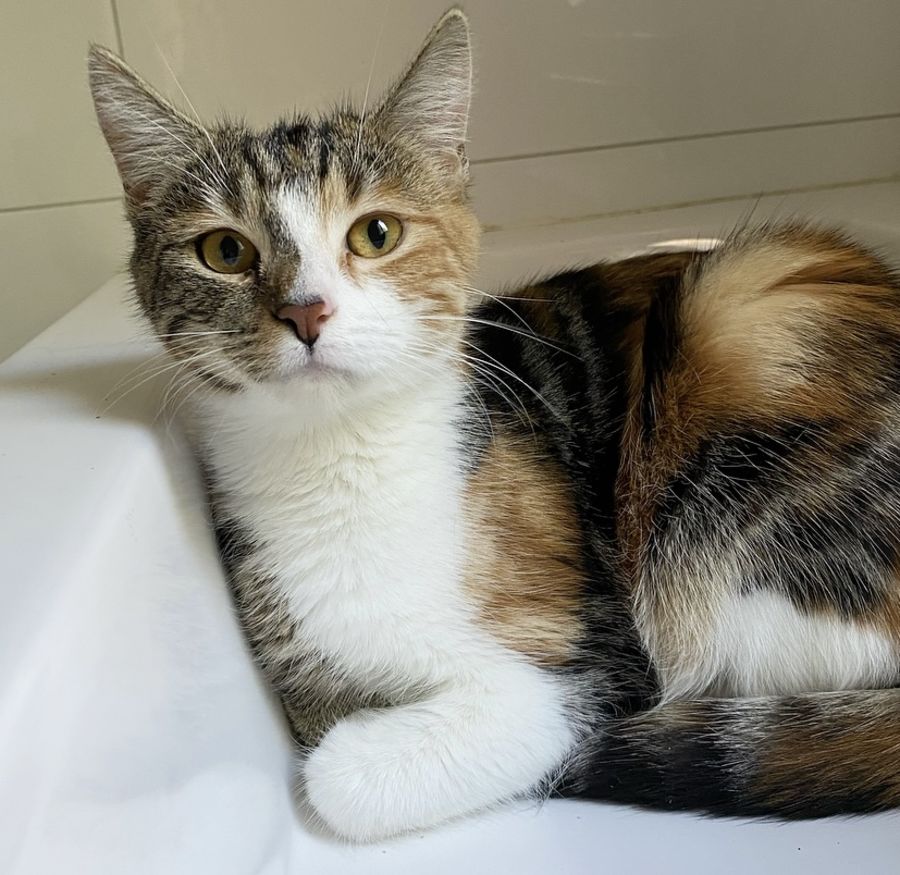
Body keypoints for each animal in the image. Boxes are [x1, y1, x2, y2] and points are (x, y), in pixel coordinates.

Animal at [89, 8, 900, 842]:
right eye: (223, 250)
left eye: (375, 233)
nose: (306, 310)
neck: (340, 459)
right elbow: (314, 703)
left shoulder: (588, 656)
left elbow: (345, 772)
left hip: (737, 323)